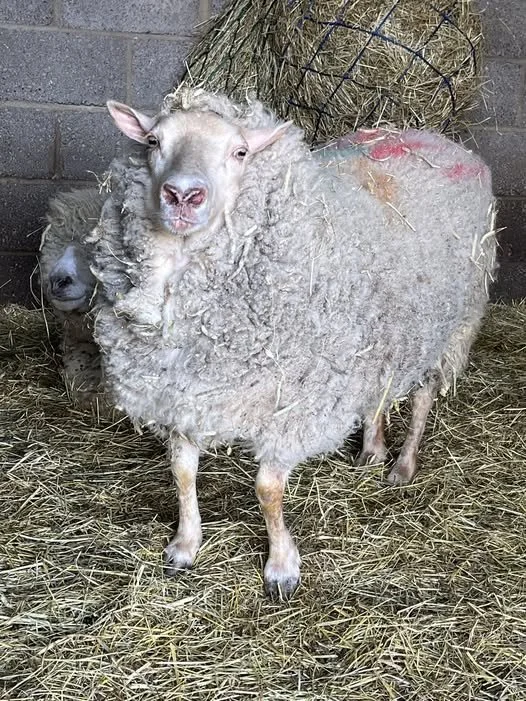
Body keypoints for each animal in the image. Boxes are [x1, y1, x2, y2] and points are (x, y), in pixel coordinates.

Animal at [87, 88, 496, 598]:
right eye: (152, 141)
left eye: (241, 152)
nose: (182, 195)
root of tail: (439, 139)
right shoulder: (179, 394)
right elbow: (182, 472)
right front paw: (185, 545)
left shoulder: (291, 409)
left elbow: (267, 490)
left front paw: (282, 567)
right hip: (378, 339)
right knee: (378, 393)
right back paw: (372, 450)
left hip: (449, 327)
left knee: (422, 398)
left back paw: (402, 466)